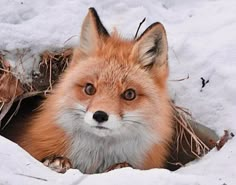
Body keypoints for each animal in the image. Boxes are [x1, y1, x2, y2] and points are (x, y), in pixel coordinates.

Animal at [3, 7, 173, 174]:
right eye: (89, 88)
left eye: (129, 94)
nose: (100, 115)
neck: (95, 162)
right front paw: (56, 161)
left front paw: (121, 167)